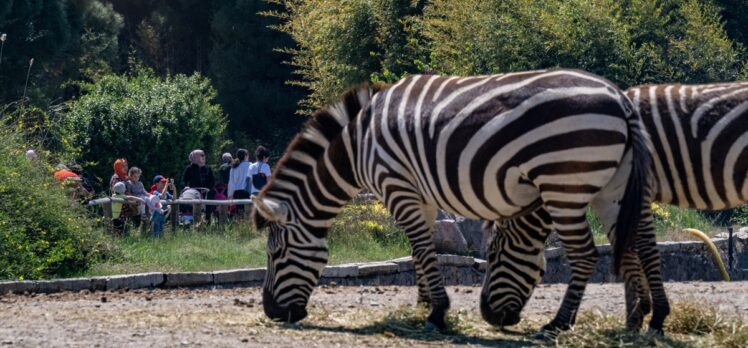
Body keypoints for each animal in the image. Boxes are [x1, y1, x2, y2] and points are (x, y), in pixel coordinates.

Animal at [251, 68, 648, 338]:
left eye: (276, 254)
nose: (270, 311)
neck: (357, 147)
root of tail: (619, 97)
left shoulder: (396, 185)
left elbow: (424, 251)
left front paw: (437, 312)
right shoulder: (419, 195)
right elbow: (419, 252)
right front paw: (424, 306)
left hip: (564, 188)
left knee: (585, 255)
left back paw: (558, 324)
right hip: (611, 190)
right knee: (627, 245)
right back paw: (635, 321)